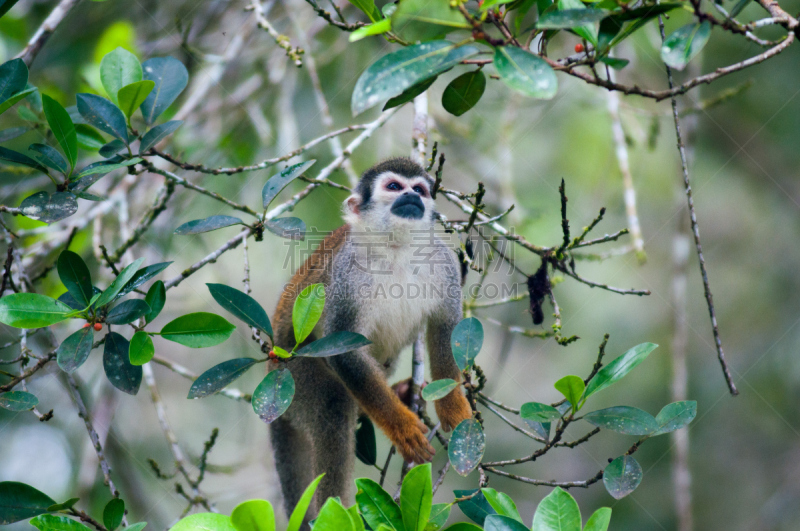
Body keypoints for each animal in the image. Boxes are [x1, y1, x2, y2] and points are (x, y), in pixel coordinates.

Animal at [268, 156, 472, 520]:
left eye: (419, 189)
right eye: (393, 187)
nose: (412, 197)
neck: (396, 249)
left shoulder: (443, 261)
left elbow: (445, 328)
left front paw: (454, 407)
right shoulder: (347, 274)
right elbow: (343, 349)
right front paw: (402, 427)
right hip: (290, 380)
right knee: (332, 409)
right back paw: (337, 512)